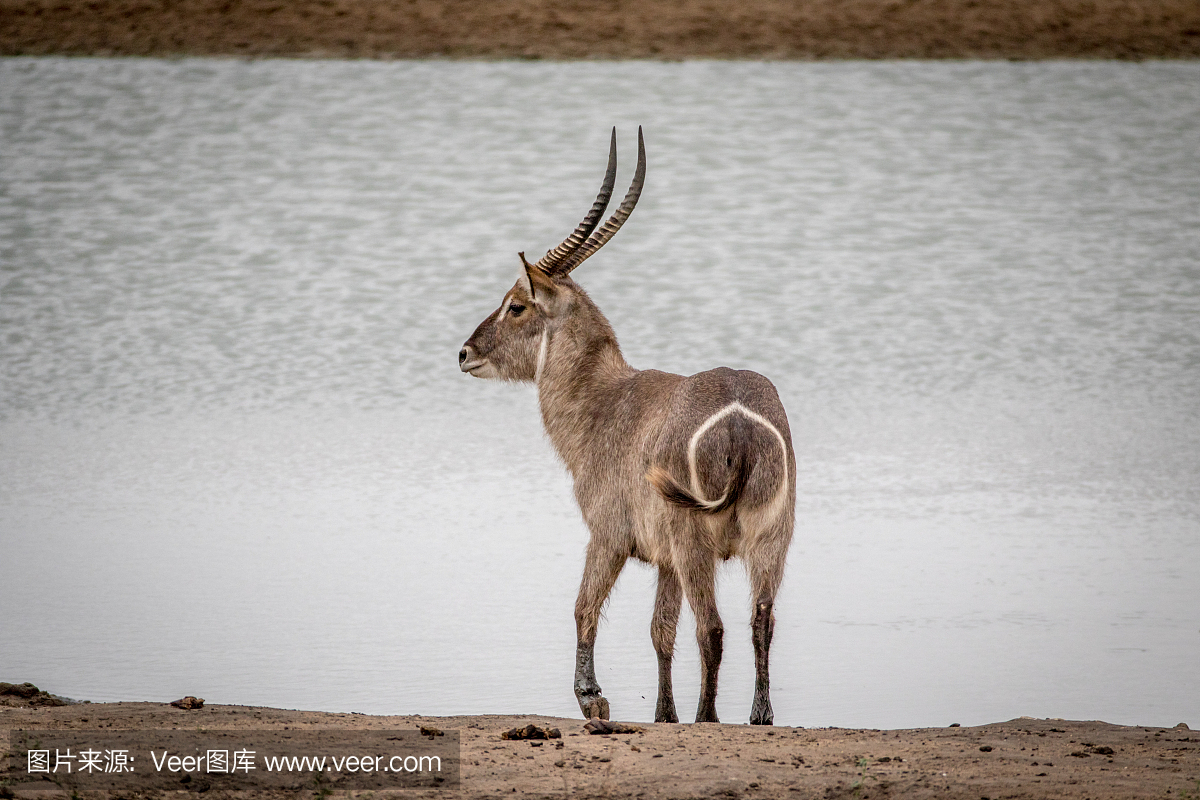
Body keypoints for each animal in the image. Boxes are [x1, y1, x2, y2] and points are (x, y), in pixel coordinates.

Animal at [458, 130, 796, 724]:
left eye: (516, 305)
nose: (464, 353)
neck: (606, 401)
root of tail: (740, 420)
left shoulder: (608, 534)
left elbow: (583, 607)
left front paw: (592, 698)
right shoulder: (663, 561)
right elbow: (660, 631)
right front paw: (663, 715)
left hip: (696, 545)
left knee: (713, 628)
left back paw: (709, 718)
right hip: (769, 541)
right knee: (761, 620)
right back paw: (759, 716)